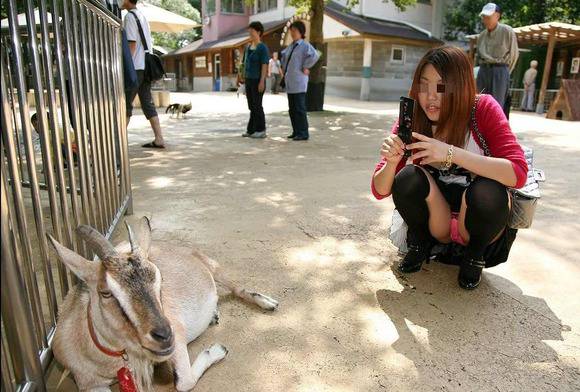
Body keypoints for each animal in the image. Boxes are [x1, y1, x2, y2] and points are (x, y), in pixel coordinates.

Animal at [47, 216, 278, 390]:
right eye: (105, 292)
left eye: (160, 279)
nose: (165, 336)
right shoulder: (89, 383)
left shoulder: (177, 334)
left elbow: (184, 382)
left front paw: (217, 350)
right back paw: (214, 315)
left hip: (213, 266)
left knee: (236, 287)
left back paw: (267, 302)